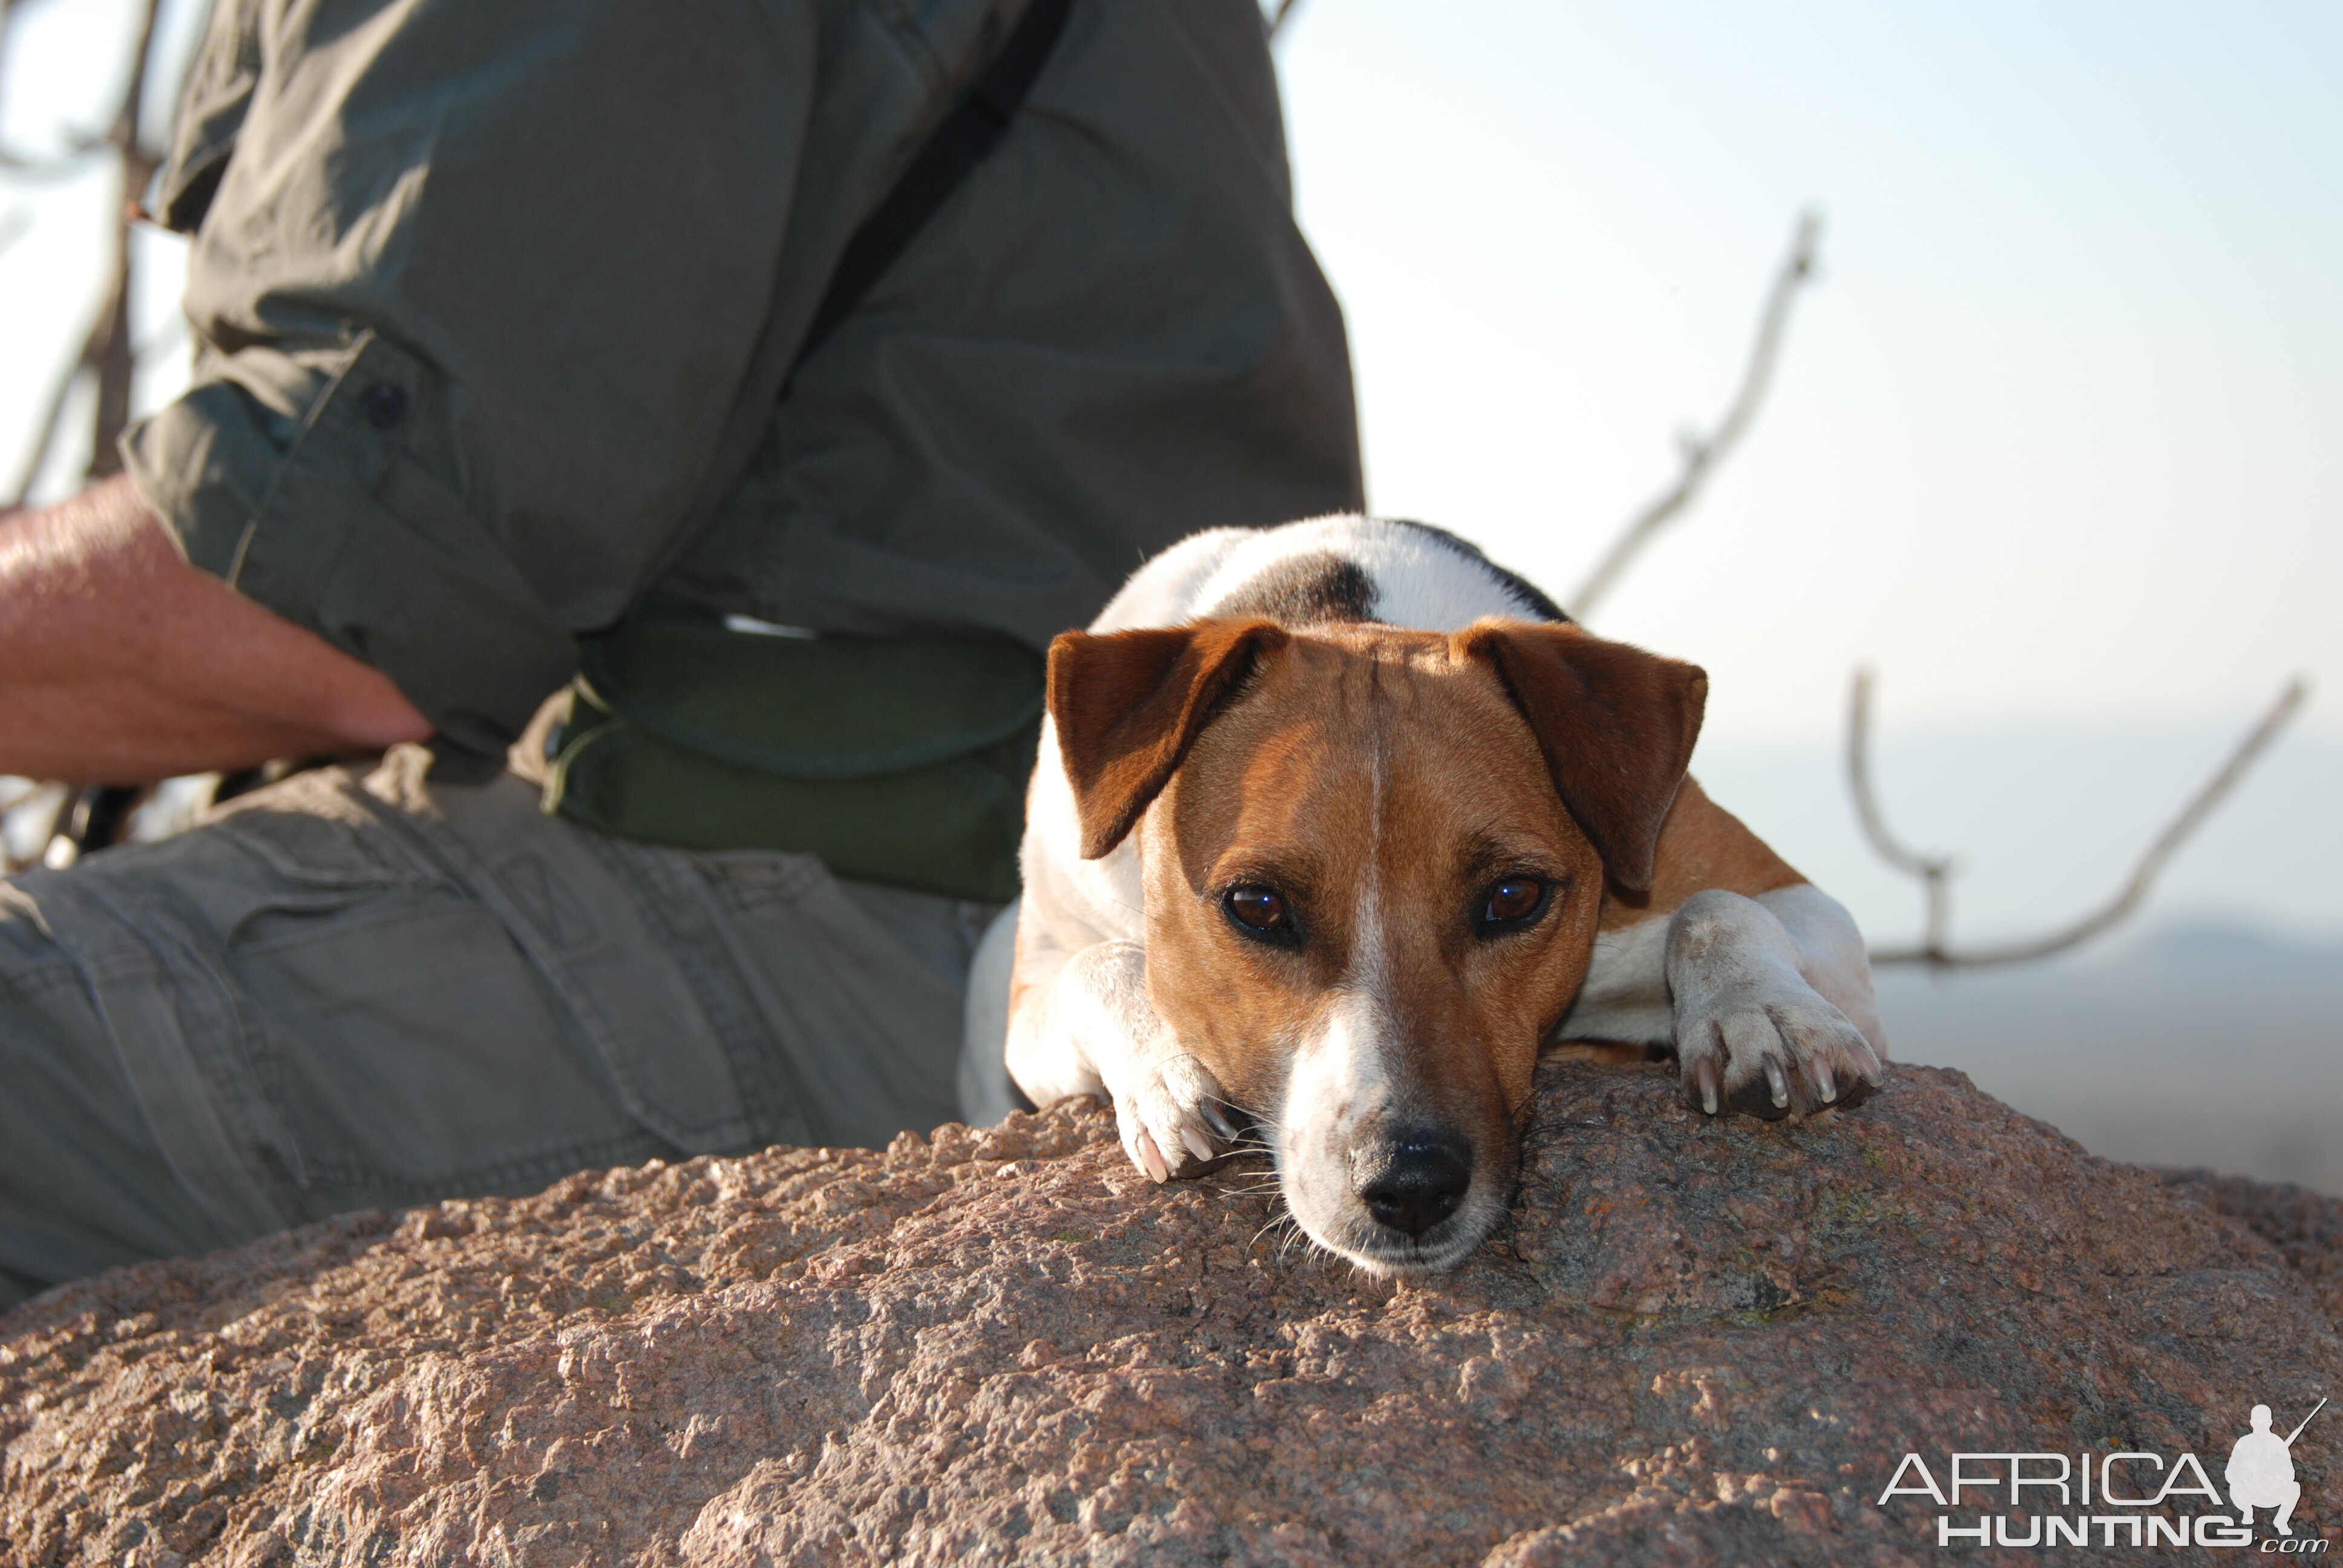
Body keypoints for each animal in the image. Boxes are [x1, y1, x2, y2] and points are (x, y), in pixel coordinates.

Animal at [960, 513, 1893, 1275]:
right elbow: (1101, 964)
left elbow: (1716, 910)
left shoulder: (1773, 890)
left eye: (1514, 897)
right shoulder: (1031, 988)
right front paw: (1167, 1073)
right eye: (1256, 907)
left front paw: (1761, 1015)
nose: (1408, 1184)